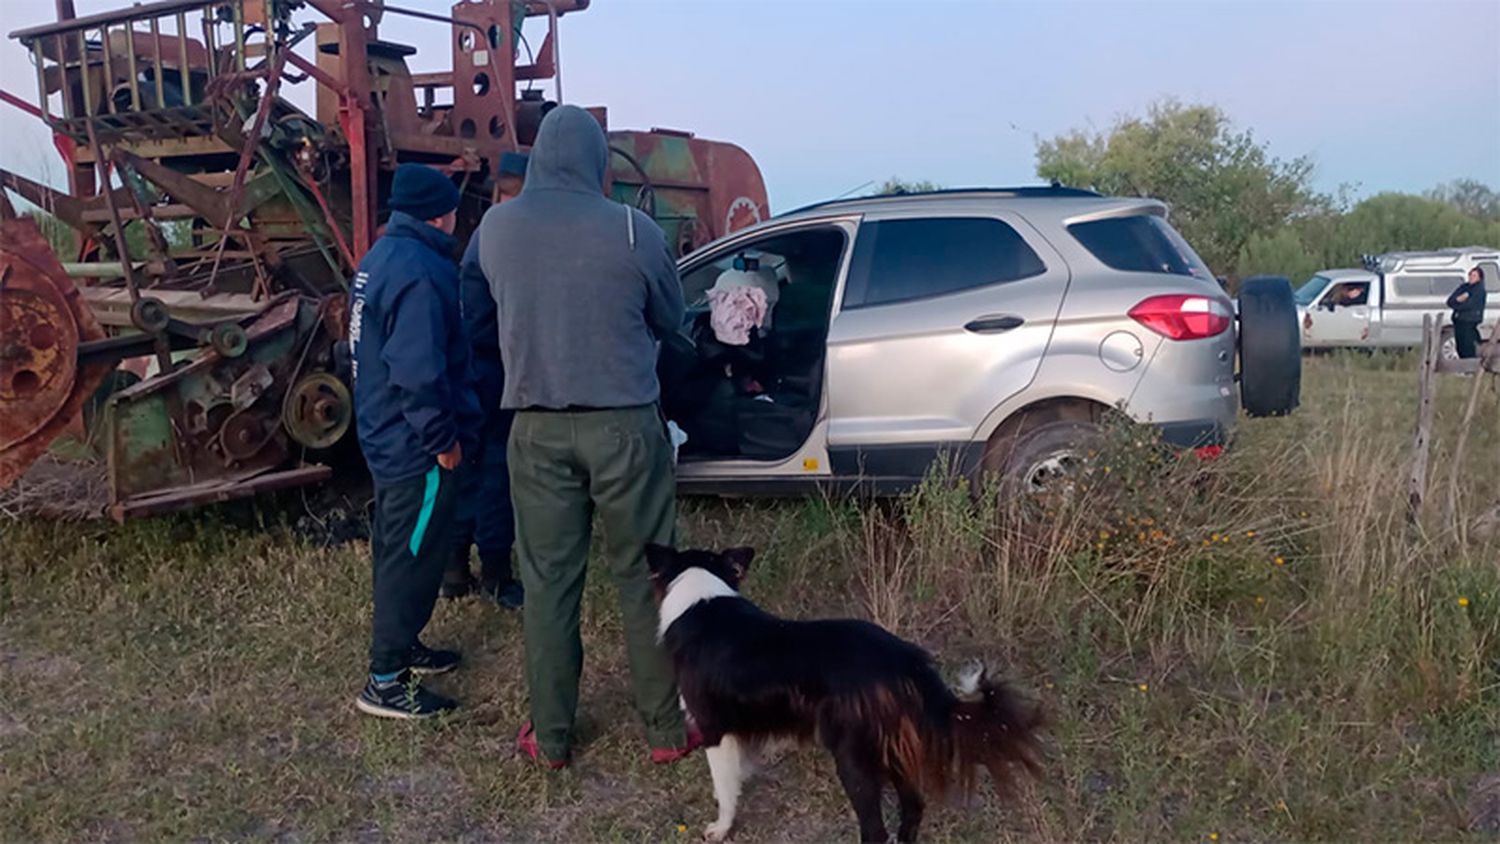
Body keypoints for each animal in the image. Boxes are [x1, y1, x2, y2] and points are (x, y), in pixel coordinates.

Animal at [645, 545, 1044, 839]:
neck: (701, 594)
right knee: (913, 808)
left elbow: (724, 788)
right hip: (893, 748)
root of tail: (904, 660)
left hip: (854, 757)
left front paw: (720, 828)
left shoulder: (714, 729)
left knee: (876, 830)